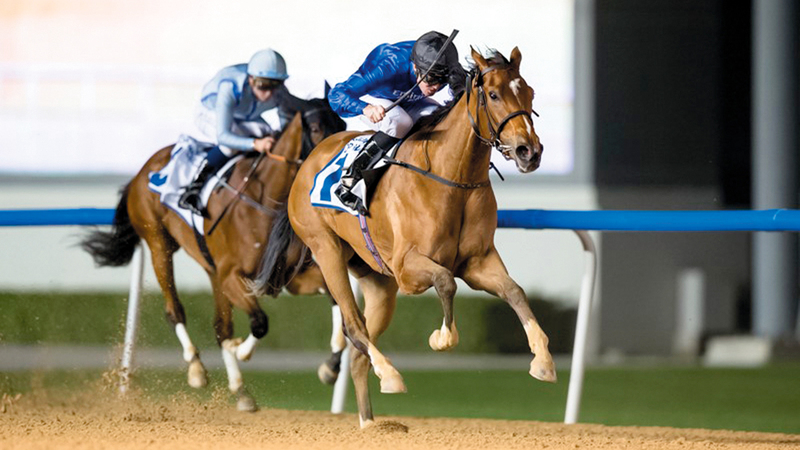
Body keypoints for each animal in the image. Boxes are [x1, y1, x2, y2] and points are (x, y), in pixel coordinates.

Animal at [81, 95, 346, 411]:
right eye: (316, 128)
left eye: (342, 123)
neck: (266, 200)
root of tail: (143, 170)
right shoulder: (233, 276)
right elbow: (260, 323)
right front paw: (241, 351)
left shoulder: (286, 277)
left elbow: (337, 300)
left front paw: (331, 366)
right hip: (159, 245)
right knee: (175, 310)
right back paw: (196, 368)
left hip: (211, 270)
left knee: (221, 327)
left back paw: (241, 390)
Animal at [252, 47, 555, 427]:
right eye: (494, 94)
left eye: (529, 92)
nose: (530, 151)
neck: (452, 177)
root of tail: (309, 160)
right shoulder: (407, 268)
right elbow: (445, 281)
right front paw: (442, 337)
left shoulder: (477, 262)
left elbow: (514, 291)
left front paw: (543, 361)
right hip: (327, 251)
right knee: (354, 327)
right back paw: (391, 375)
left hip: (378, 281)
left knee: (360, 352)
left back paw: (370, 423)